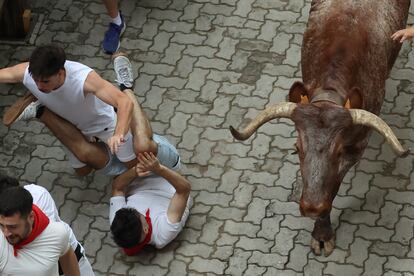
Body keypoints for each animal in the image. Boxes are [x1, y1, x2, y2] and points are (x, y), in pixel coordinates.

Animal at [231, 0, 410, 256]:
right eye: (296, 148)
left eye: (339, 151)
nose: (311, 207)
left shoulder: (356, 148)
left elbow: (333, 186)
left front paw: (323, 233)